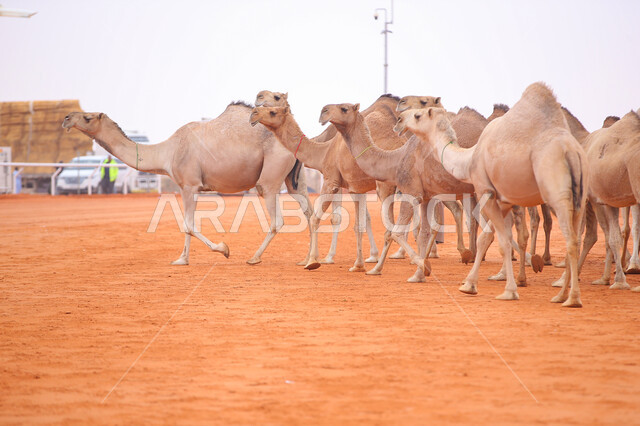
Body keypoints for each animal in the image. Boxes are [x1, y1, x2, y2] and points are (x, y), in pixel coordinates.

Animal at [62, 103, 314, 266]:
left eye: (88, 117)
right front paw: (182, 258)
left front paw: (222, 249)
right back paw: (309, 260)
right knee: (309, 211)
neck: (168, 151)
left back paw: (254, 257)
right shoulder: (188, 186)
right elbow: (186, 226)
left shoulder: (189, 185)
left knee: (276, 218)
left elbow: (189, 225)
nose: (66, 118)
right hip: (294, 178)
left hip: (270, 177)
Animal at [397, 82, 589, 307]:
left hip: (556, 194)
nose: (399, 117)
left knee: (570, 239)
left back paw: (572, 297)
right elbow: (491, 236)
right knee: (573, 236)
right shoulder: (502, 200)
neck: (469, 158)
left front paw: (504, 290)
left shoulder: (485, 191)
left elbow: (499, 239)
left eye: (418, 114)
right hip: (579, 197)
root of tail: (572, 151)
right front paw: (472, 282)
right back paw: (560, 294)